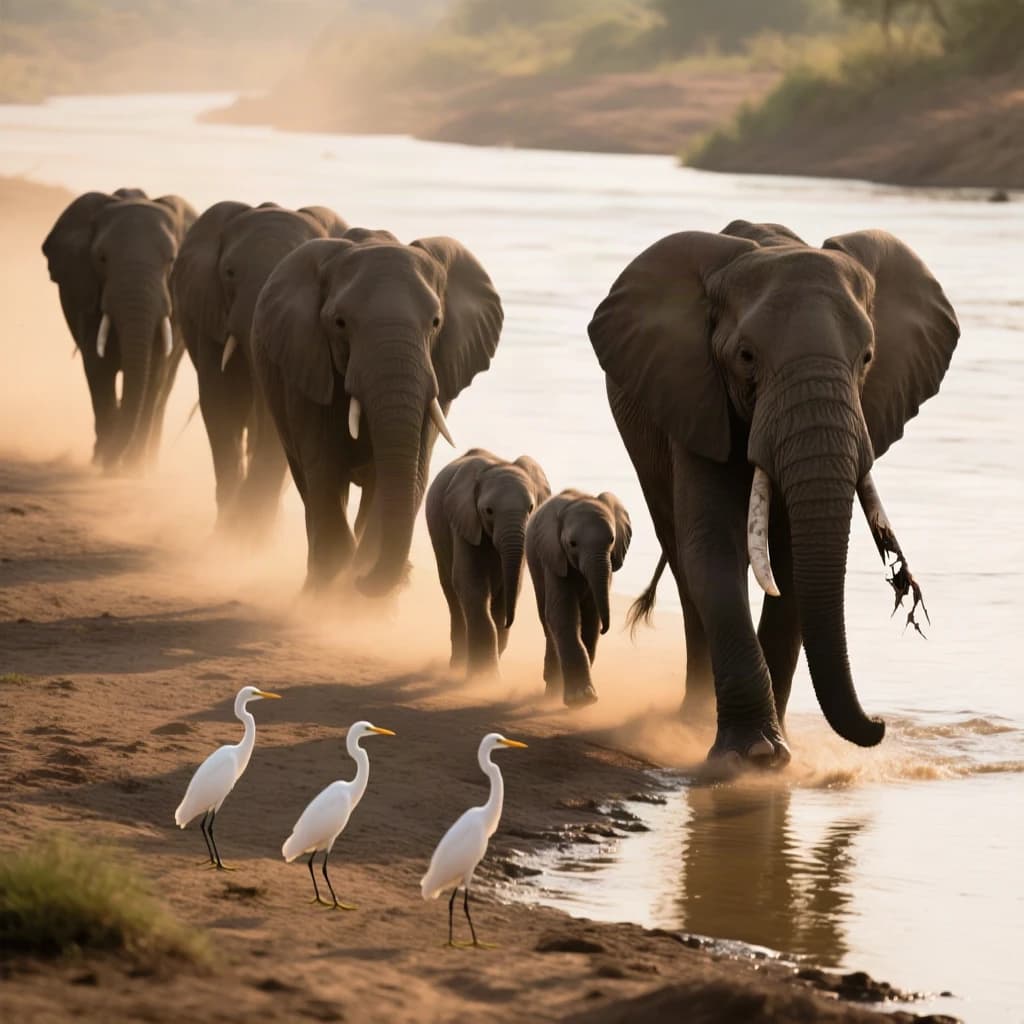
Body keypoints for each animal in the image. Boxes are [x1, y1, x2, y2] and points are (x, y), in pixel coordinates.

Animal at [42, 188, 196, 471]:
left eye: (171, 260)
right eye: (102, 259)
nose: (114, 461)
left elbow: (154, 369)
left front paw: (132, 470)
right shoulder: (86, 291)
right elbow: (98, 367)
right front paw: (105, 464)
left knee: (164, 386)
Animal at [251, 228, 503, 595]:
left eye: (436, 322)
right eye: (340, 323)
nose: (364, 582)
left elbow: (412, 472)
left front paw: (364, 593)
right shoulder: (306, 368)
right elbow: (325, 468)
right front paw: (330, 593)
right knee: (309, 483)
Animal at [426, 448, 551, 677]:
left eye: (531, 508)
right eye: (488, 511)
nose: (509, 622)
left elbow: (510, 589)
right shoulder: (464, 521)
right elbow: (470, 584)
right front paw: (485, 678)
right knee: (452, 594)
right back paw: (457, 666)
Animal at [525, 489, 631, 707]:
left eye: (611, 540)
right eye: (572, 544)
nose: (606, 629)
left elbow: (591, 617)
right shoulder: (554, 557)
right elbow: (562, 614)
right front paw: (582, 699)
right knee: (546, 620)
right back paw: (552, 690)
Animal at [588, 221, 959, 767]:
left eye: (867, 358)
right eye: (746, 357)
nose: (880, 724)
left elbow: (793, 566)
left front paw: (777, 752)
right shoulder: (697, 399)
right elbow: (713, 549)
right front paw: (754, 756)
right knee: (682, 559)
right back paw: (692, 720)